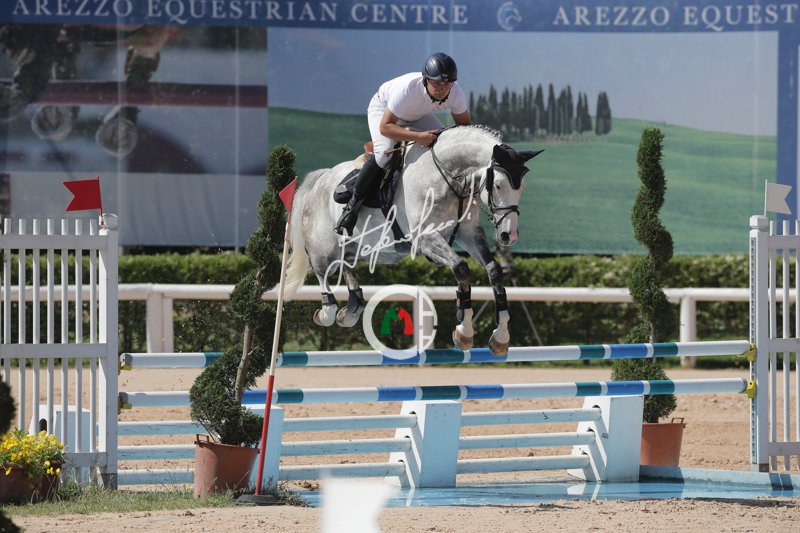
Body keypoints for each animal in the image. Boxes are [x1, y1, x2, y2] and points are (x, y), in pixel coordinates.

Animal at [282, 125, 542, 355]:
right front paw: (464, 331)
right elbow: (460, 267)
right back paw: (328, 312)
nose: (509, 236)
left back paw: (353, 308)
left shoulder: (469, 233)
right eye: (497, 185)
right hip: (323, 247)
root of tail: (320, 179)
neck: (448, 177)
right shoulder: (425, 236)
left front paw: (501, 337)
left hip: (359, 247)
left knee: (347, 266)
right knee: (322, 271)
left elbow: (494, 270)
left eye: (522, 187)